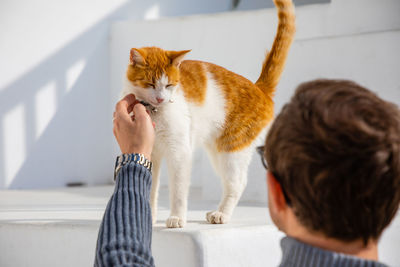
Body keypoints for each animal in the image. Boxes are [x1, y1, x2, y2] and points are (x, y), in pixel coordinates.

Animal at [120, 0, 296, 228]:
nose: (160, 98)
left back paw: (222, 214)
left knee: (238, 183)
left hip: (231, 151)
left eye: (169, 85)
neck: (155, 111)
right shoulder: (151, 152)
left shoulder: (179, 152)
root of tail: (259, 88)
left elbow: (178, 190)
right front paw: (147, 217)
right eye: (150, 84)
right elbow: (149, 188)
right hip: (217, 151)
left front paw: (177, 217)